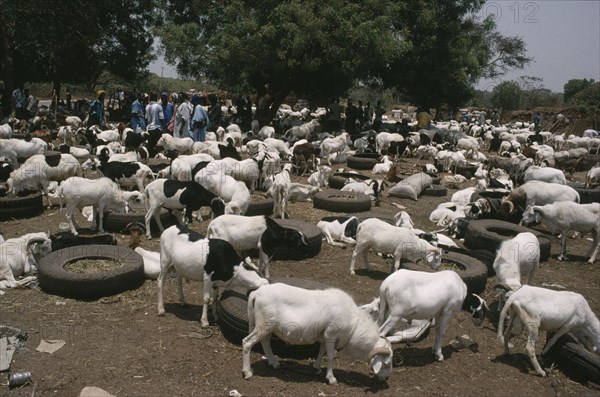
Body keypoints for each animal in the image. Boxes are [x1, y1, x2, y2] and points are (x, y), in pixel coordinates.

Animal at [244, 284, 394, 386]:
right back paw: (247, 373)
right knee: (247, 343)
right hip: (264, 325)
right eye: (386, 363)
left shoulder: (324, 336)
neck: (354, 326)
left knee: (265, 341)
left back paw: (273, 363)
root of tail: (256, 293)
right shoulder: (331, 335)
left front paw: (316, 367)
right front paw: (331, 378)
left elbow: (322, 351)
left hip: (267, 327)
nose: (386, 378)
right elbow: (331, 356)